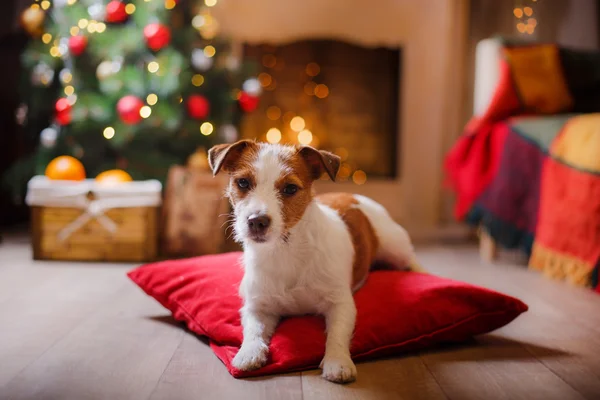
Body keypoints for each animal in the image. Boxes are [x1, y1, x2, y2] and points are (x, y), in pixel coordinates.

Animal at [209, 141, 420, 384]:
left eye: (290, 188)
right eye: (243, 182)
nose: (257, 221)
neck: (285, 250)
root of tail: (353, 193)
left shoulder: (340, 303)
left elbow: (337, 333)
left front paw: (338, 361)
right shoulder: (257, 305)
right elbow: (254, 329)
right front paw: (249, 352)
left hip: (396, 248)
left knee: (410, 258)